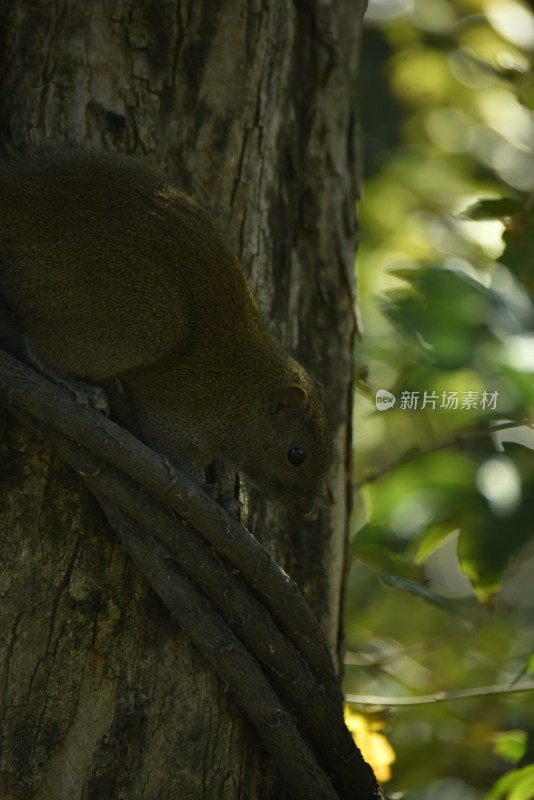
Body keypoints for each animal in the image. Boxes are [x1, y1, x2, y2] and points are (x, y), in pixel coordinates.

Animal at [0, 150, 336, 512]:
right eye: (296, 455)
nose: (306, 509)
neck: (250, 392)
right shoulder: (189, 412)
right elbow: (177, 455)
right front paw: (213, 493)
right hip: (146, 318)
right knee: (37, 345)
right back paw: (73, 383)